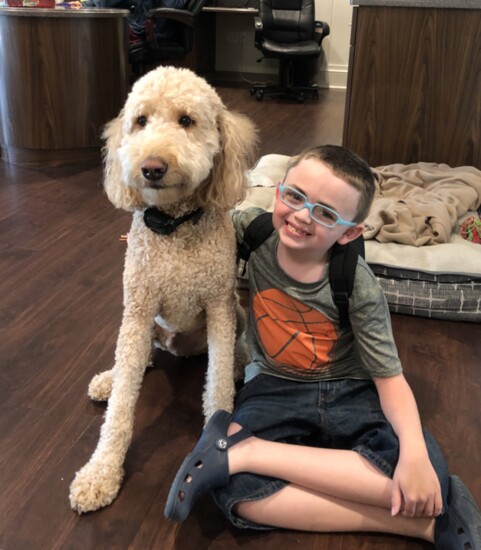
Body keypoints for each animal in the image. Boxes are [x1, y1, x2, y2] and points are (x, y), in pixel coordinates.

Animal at [69, 67, 256, 516]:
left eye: (186, 120)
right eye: (140, 121)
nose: (151, 167)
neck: (173, 224)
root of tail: (180, 348)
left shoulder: (219, 308)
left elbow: (217, 384)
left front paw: (216, 439)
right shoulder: (138, 310)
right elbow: (121, 408)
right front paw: (101, 472)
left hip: (235, 310)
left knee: (233, 350)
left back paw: (239, 365)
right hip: (140, 325)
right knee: (136, 359)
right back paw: (110, 377)